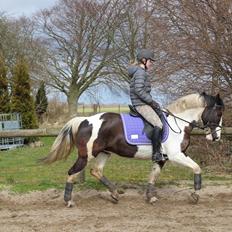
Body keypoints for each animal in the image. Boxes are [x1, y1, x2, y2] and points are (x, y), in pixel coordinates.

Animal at [42, 92, 225, 207]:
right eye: (218, 114)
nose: (216, 137)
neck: (178, 123)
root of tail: (83, 120)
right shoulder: (176, 155)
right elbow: (197, 168)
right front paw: (195, 195)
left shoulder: (162, 158)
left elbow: (153, 176)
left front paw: (151, 197)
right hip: (86, 155)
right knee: (72, 172)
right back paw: (68, 201)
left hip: (104, 153)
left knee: (96, 171)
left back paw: (115, 194)